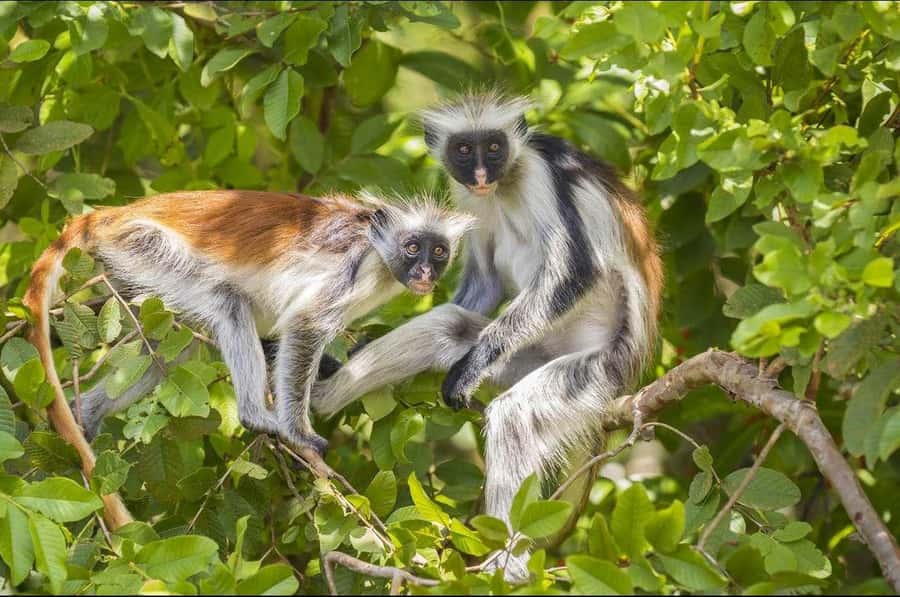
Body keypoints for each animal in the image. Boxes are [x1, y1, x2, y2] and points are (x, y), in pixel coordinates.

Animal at [23, 190, 473, 492]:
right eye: (412, 248)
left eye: (438, 252)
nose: (425, 273)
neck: (377, 247)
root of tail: (114, 215)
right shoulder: (353, 265)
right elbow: (305, 325)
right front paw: (298, 433)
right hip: (143, 245)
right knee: (228, 302)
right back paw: (256, 415)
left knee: (175, 346)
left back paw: (86, 412)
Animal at [312, 93, 663, 580]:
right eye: (464, 150)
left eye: (494, 147)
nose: (480, 174)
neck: (504, 185)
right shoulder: (467, 199)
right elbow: (484, 281)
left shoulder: (540, 173)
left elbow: (576, 271)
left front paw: (473, 366)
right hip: (527, 355)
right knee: (448, 326)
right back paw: (319, 396)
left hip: (598, 368)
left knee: (515, 415)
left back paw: (508, 566)